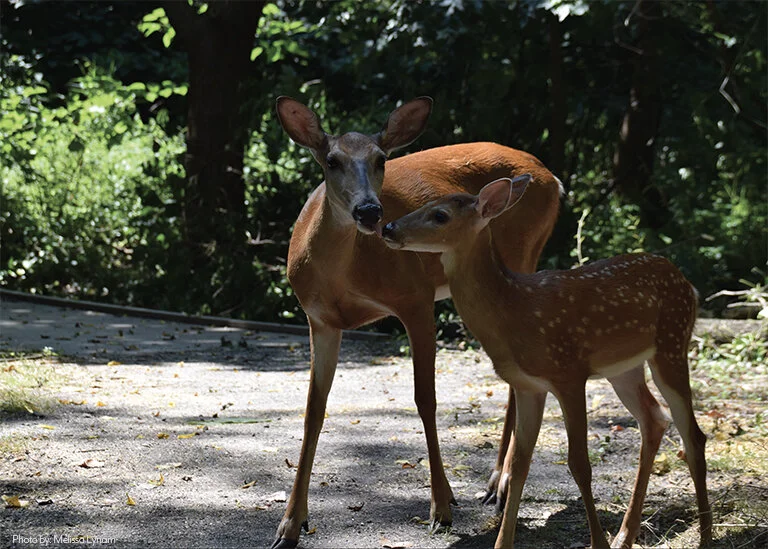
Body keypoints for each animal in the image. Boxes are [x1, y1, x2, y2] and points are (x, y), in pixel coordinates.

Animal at [271, 97, 563, 548]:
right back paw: (495, 482)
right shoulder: (320, 319)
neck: (344, 276)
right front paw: (290, 523)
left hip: (523, 251)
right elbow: (312, 410)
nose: (370, 211)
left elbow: (425, 399)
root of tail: (551, 176)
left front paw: (441, 506)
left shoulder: (416, 298)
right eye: (332, 160)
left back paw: (499, 483)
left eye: (381, 159)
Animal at [381, 175, 711, 549]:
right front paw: (502, 542)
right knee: (654, 420)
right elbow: (520, 465)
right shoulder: (529, 387)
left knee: (693, 435)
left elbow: (580, 464)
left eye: (440, 215)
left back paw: (705, 536)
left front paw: (596, 542)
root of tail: (688, 284)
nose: (388, 227)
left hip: (672, 343)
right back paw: (625, 535)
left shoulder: (569, 372)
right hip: (625, 369)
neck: (514, 310)